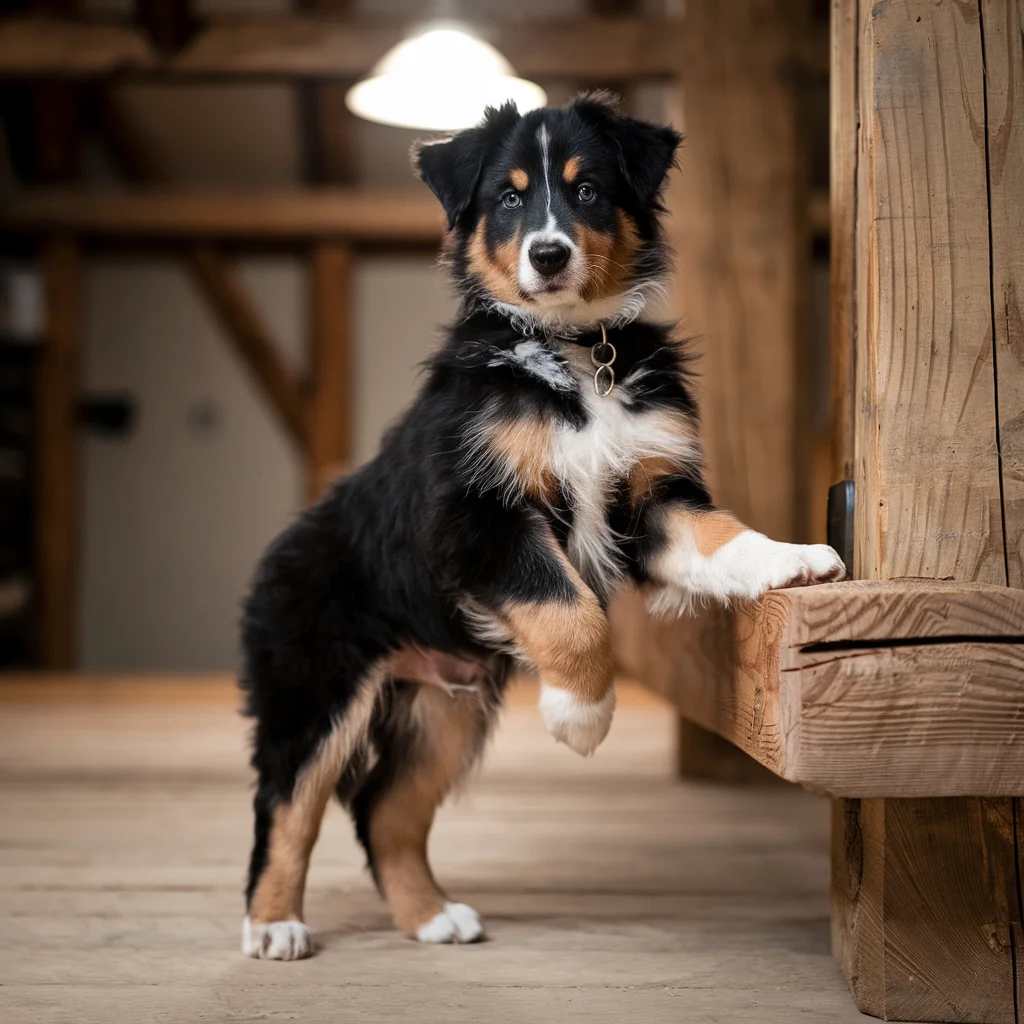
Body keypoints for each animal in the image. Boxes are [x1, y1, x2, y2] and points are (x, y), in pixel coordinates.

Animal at [241, 94, 847, 958]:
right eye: (508, 198)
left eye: (587, 190)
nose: (550, 254)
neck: (577, 352)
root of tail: (279, 549)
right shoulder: (480, 515)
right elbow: (570, 612)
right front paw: (581, 717)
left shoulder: (654, 497)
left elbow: (719, 536)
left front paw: (794, 558)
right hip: (316, 685)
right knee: (288, 805)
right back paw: (274, 925)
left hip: (445, 708)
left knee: (384, 809)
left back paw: (433, 916)